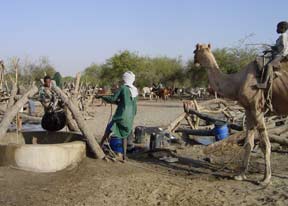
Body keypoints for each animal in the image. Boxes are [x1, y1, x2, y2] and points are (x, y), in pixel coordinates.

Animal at [192, 43, 288, 185]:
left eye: (195, 51)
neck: (237, 82)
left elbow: (265, 144)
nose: (194, 61)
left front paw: (266, 179)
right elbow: (248, 143)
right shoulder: (249, 110)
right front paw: (240, 175)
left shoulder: (257, 109)